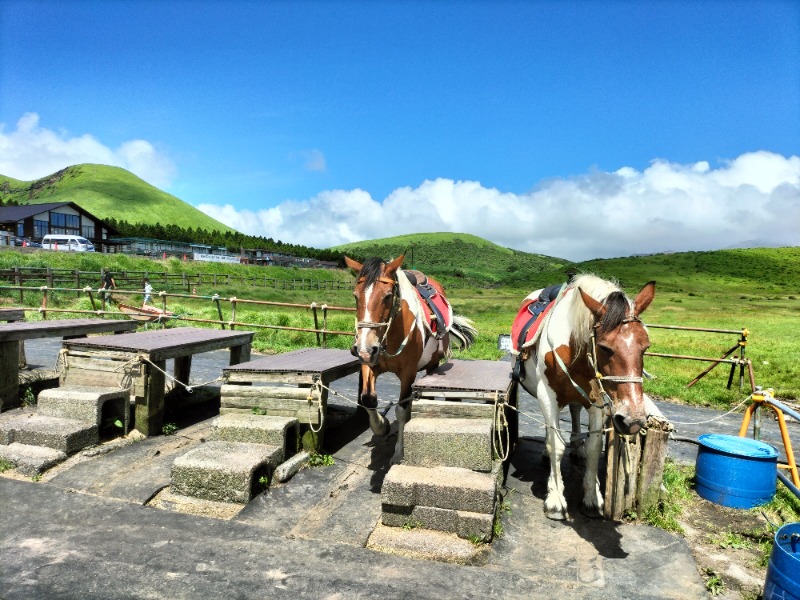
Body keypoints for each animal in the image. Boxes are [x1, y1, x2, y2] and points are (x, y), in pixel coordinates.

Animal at [344, 255, 476, 462]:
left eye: (388, 296)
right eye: (355, 296)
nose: (365, 348)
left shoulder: (408, 373)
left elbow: (401, 411)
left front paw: (399, 452)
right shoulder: (369, 364)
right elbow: (368, 399)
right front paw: (382, 426)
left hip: (433, 364)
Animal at [520, 274, 656, 516]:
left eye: (645, 347)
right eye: (604, 347)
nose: (633, 420)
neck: (574, 347)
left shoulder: (597, 400)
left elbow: (594, 446)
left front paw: (593, 496)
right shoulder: (548, 396)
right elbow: (556, 444)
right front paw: (555, 497)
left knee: (574, 411)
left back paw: (577, 449)